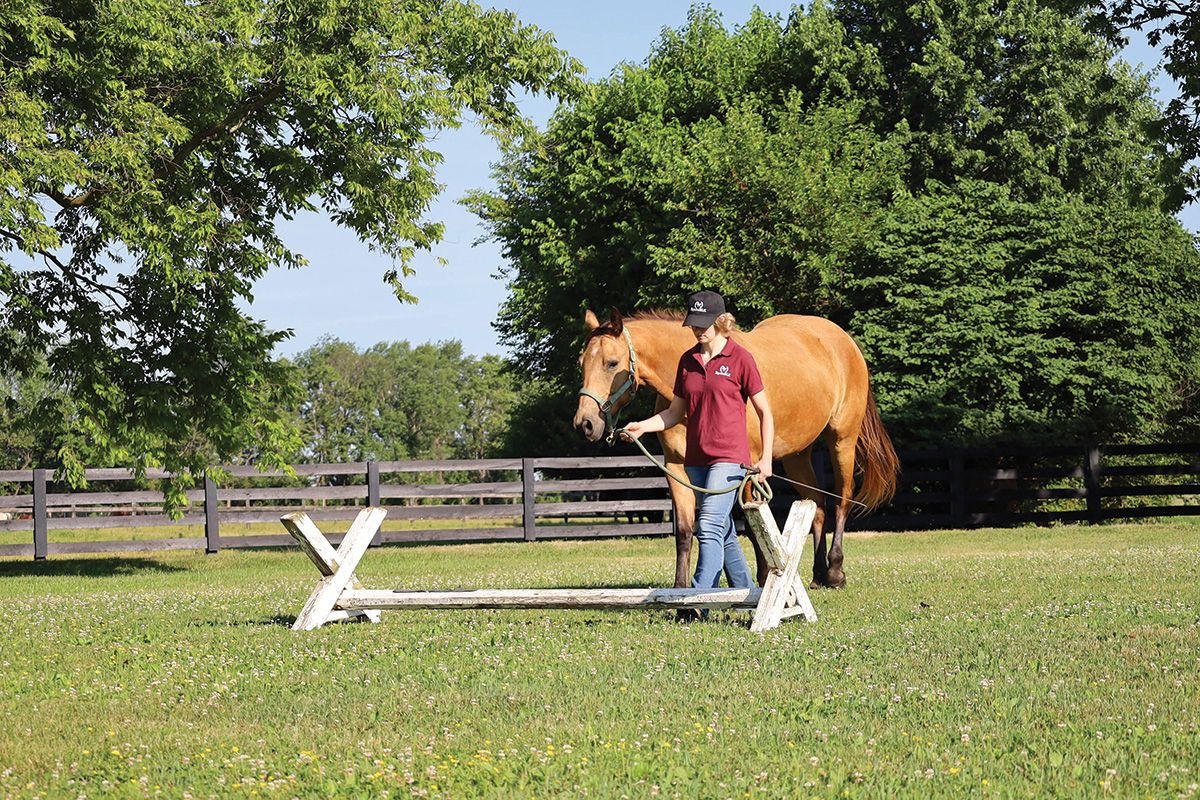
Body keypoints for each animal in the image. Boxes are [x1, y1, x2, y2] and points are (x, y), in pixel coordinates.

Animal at [573, 308, 899, 590]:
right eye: (581, 363)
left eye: (612, 363)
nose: (584, 424)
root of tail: (844, 340)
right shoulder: (678, 468)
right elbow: (687, 531)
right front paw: (683, 589)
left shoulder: (746, 468)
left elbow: (754, 524)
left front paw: (764, 576)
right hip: (797, 454)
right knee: (816, 505)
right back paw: (818, 574)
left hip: (842, 438)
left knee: (842, 498)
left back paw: (834, 571)